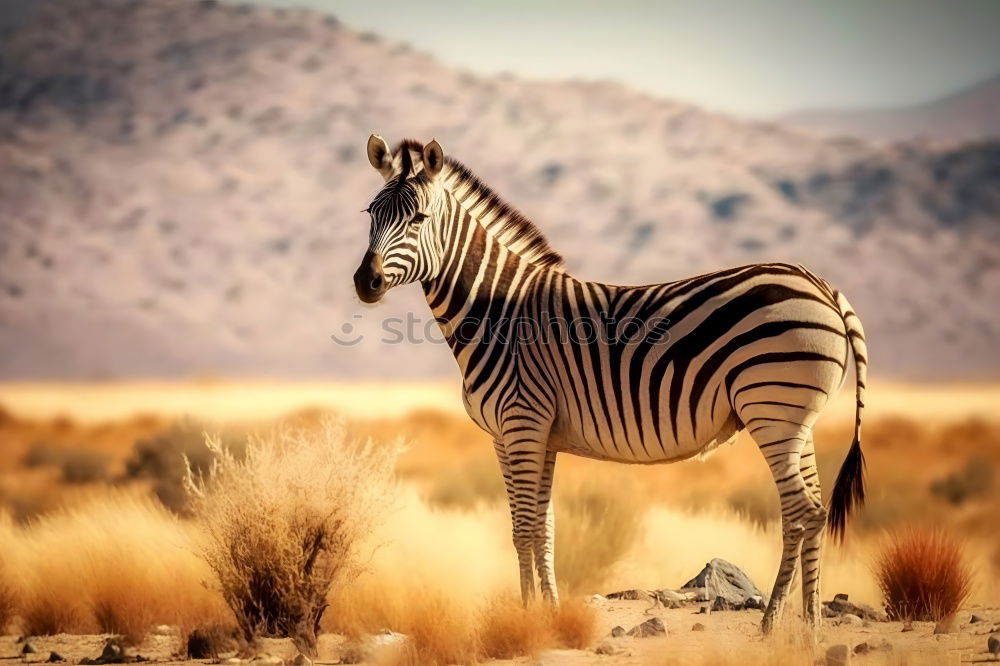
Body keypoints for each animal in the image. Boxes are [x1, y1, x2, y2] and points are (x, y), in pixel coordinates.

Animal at [352, 132, 868, 632]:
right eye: (371, 214)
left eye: (418, 218)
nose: (365, 282)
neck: (498, 311)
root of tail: (822, 285)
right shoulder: (529, 435)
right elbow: (543, 526)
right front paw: (549, 612)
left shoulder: (521, 423)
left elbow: (523, 527)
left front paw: (526, 618)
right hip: (797, 422)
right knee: (816, 511)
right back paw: (810, 623)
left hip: (772, 412)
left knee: (802, 512)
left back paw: (774, 622)